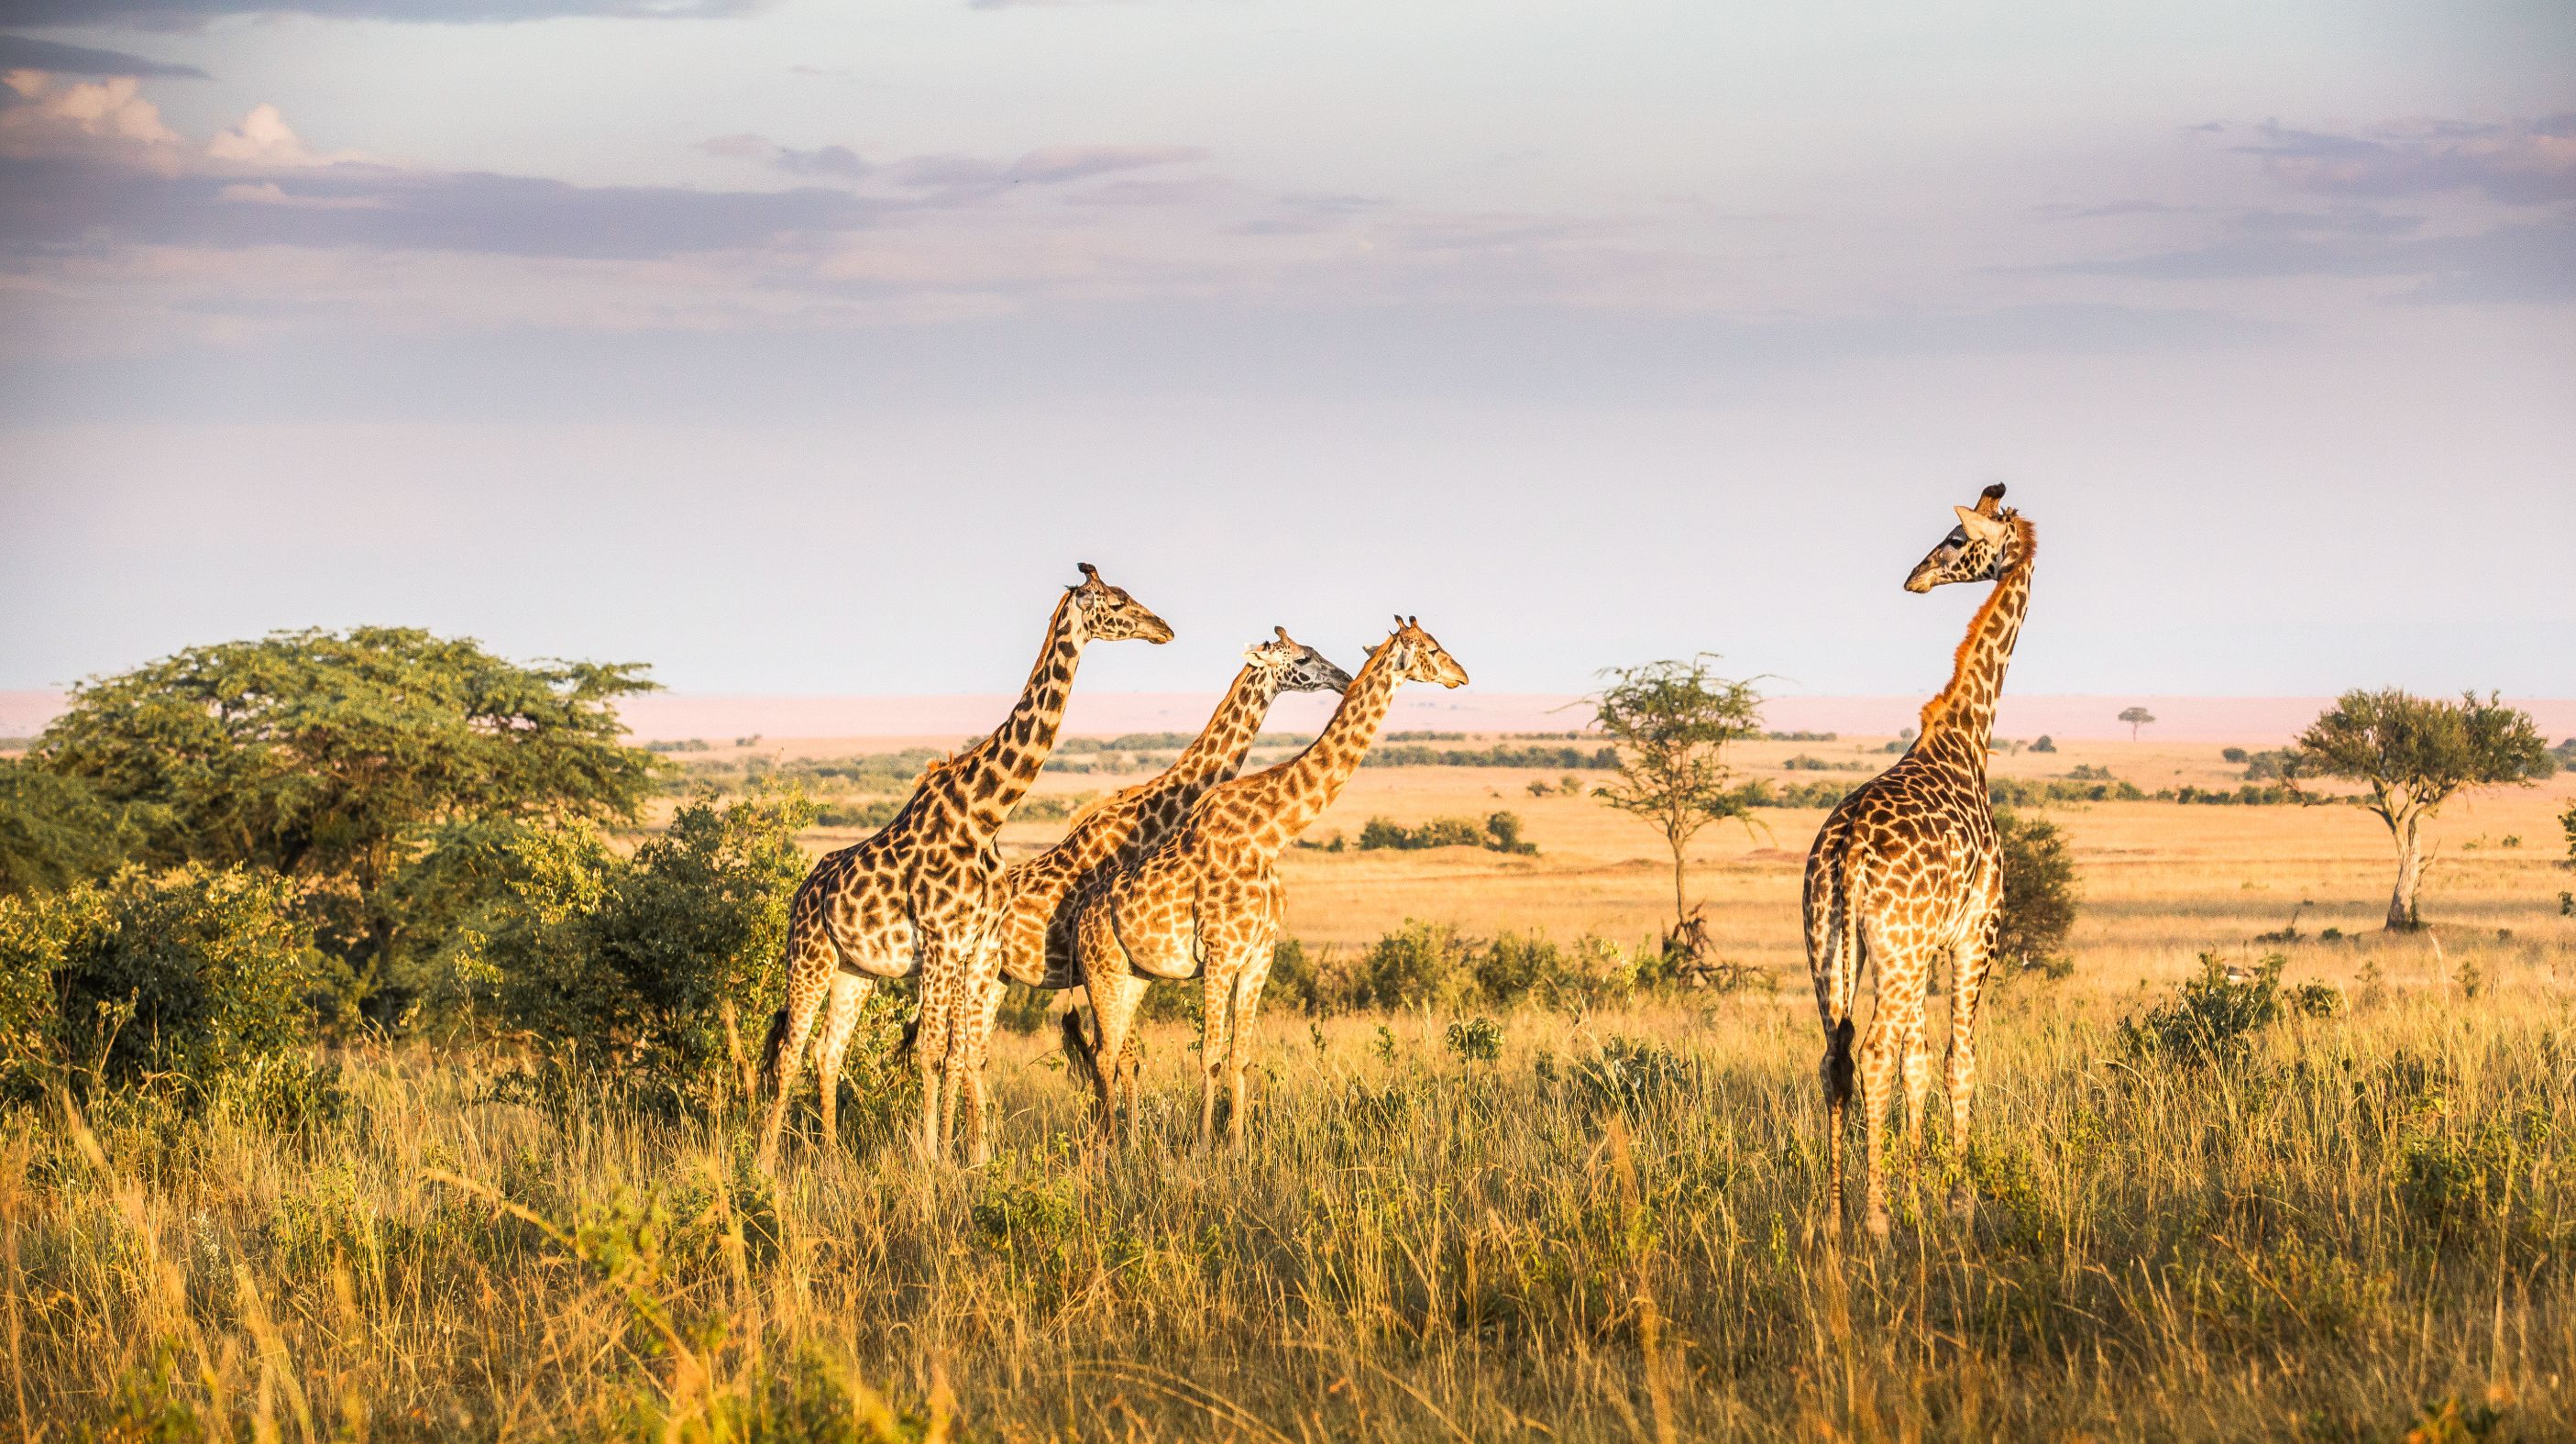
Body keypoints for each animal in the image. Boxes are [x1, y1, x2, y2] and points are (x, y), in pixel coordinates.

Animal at [755, 564, 1171, 1170]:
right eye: (1115, 600)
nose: (1164, 628)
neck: (986, 814)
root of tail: (802, 892)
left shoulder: (978, 947)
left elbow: (962, 1052)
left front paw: (967, 1157)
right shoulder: (941, 941)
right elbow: (932, 1050)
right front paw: (931, 1159)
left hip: (855, 969)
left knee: (829, 1051)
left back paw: (830, 1160)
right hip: (808, 955)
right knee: (790, 1050)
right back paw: (765, 1164)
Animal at [936, 629, 1353, 1163]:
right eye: (1302, 658)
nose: (1343, 678)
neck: (1156, 819)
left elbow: (1127, 1059)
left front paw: (1128, 1144)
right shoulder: (1109, 962)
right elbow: (1116, 1057)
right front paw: (1117, 1146)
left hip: (999, 981)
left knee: (975, 1054)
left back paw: (975, 1148)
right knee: (959, 1051)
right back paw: (964, 1153)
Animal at [1068, 617, 1468, 1146]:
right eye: (1430, 648)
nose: (1462, 674)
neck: (1269, 837)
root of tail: (1080, 918)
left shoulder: (1260, 955)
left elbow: (1240, 1057)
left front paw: (1237, 1148)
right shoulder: (1220, 954)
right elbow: (1211, 1057)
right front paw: (1201, 1148)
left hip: (1135, 976)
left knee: (1110, 1054)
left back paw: (1121, 1145)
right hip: (1103, 971)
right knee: (1104, 1054)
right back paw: (1109, 1148)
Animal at [1803, 483, 2034, 1239]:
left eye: (1956, 540)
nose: (1915, 577)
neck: (1969, 736)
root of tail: (1845, 850)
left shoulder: (1927, 943)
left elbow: (1920, 1064)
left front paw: (1913, 1187)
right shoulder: (1974, 933)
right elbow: (1957, 1061)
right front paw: (1954, 1196)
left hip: (1831, 946)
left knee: (1836, 1058)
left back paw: (1837, 1214)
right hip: (1898, 951)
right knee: (1872, 1053)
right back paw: (1874, 1219)